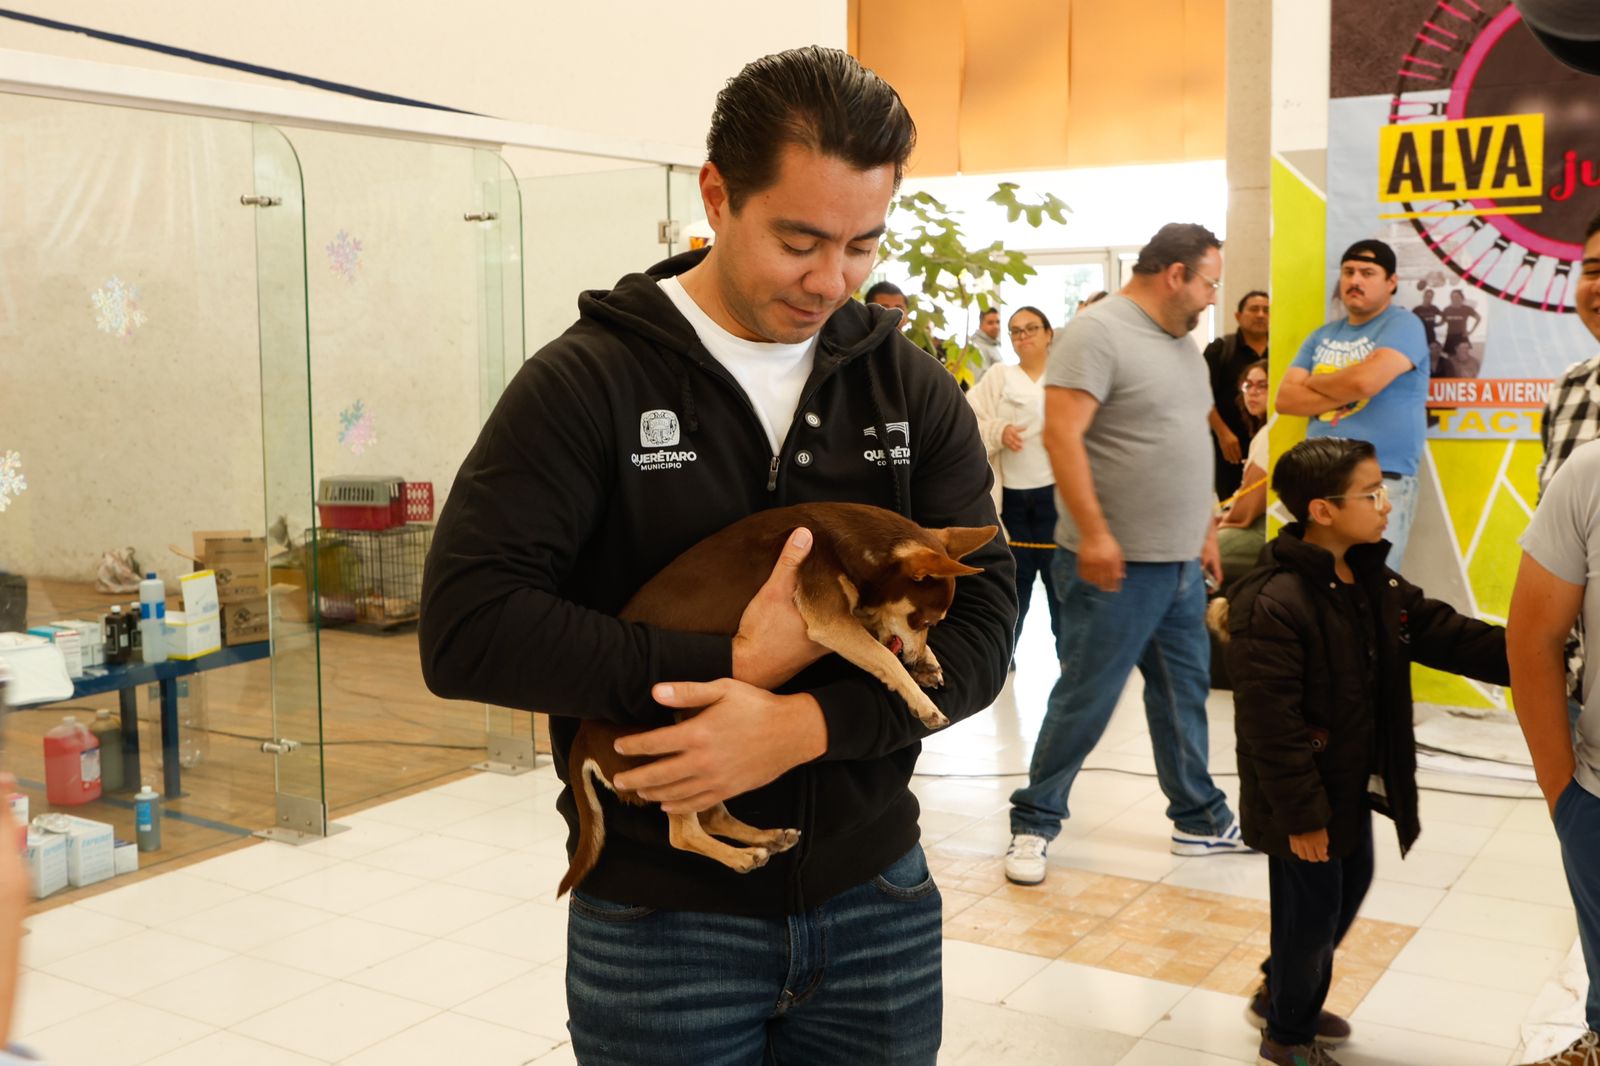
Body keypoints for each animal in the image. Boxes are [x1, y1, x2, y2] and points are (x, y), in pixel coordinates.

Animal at [556, 502, 992, 889]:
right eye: (927, 620)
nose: (917, 656)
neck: (852, 544)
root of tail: (585, 742)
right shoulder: (829, 621)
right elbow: (884, 656)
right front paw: (922, 701)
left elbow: (880, 645)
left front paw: (928, 665)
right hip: (670, 757)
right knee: (680, 834)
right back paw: (740, 856)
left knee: (711, 817)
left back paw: (766, 838)